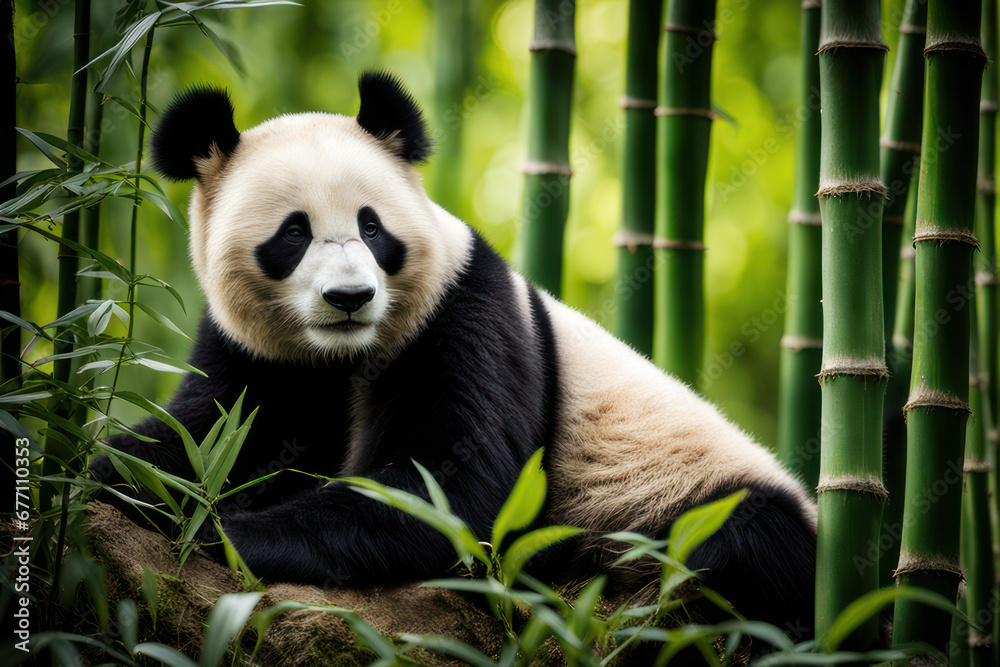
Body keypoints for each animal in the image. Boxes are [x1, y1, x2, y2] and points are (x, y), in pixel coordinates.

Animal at [97, 71, 816, 634]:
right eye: (293, 233)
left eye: (371, 227)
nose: (350, 297)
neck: (343, 355)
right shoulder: (256, 352)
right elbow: (205, 432)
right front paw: (117, 479)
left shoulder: (464, 312)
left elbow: (448, 488)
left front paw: (223, 531)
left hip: (676, 490)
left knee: (737, 543)